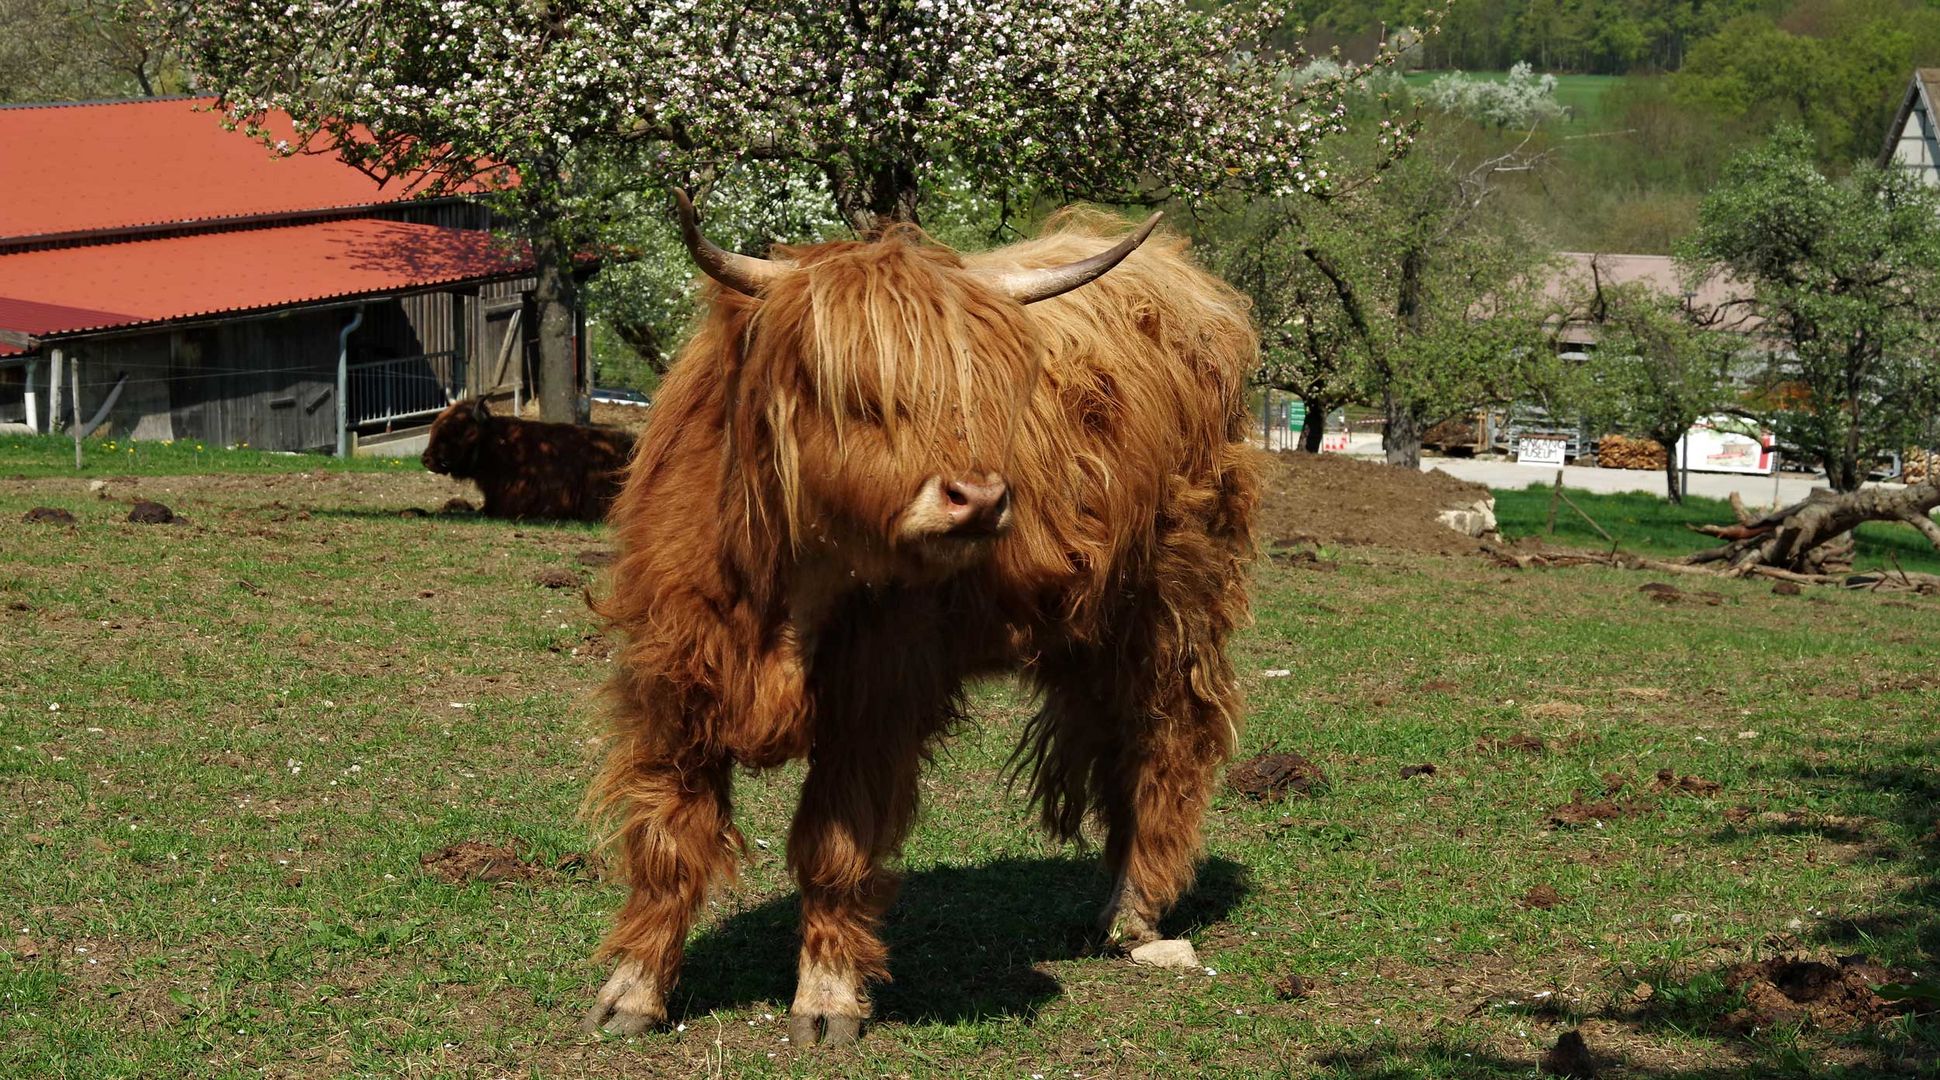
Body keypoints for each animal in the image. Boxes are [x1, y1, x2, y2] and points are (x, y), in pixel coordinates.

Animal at [582, 193, 1264, 1047]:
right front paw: (632, 993)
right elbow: (668, 840)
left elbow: (835, 844)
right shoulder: (673, 681)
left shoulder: (877, 698)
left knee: (1166, 743)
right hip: (1096, 629)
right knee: (1115, 742)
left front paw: (828, 1000)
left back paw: (1134, 915)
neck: (793, 582)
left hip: (1174, 607)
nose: (980, 498)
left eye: (983, 391)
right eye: (861, 392)